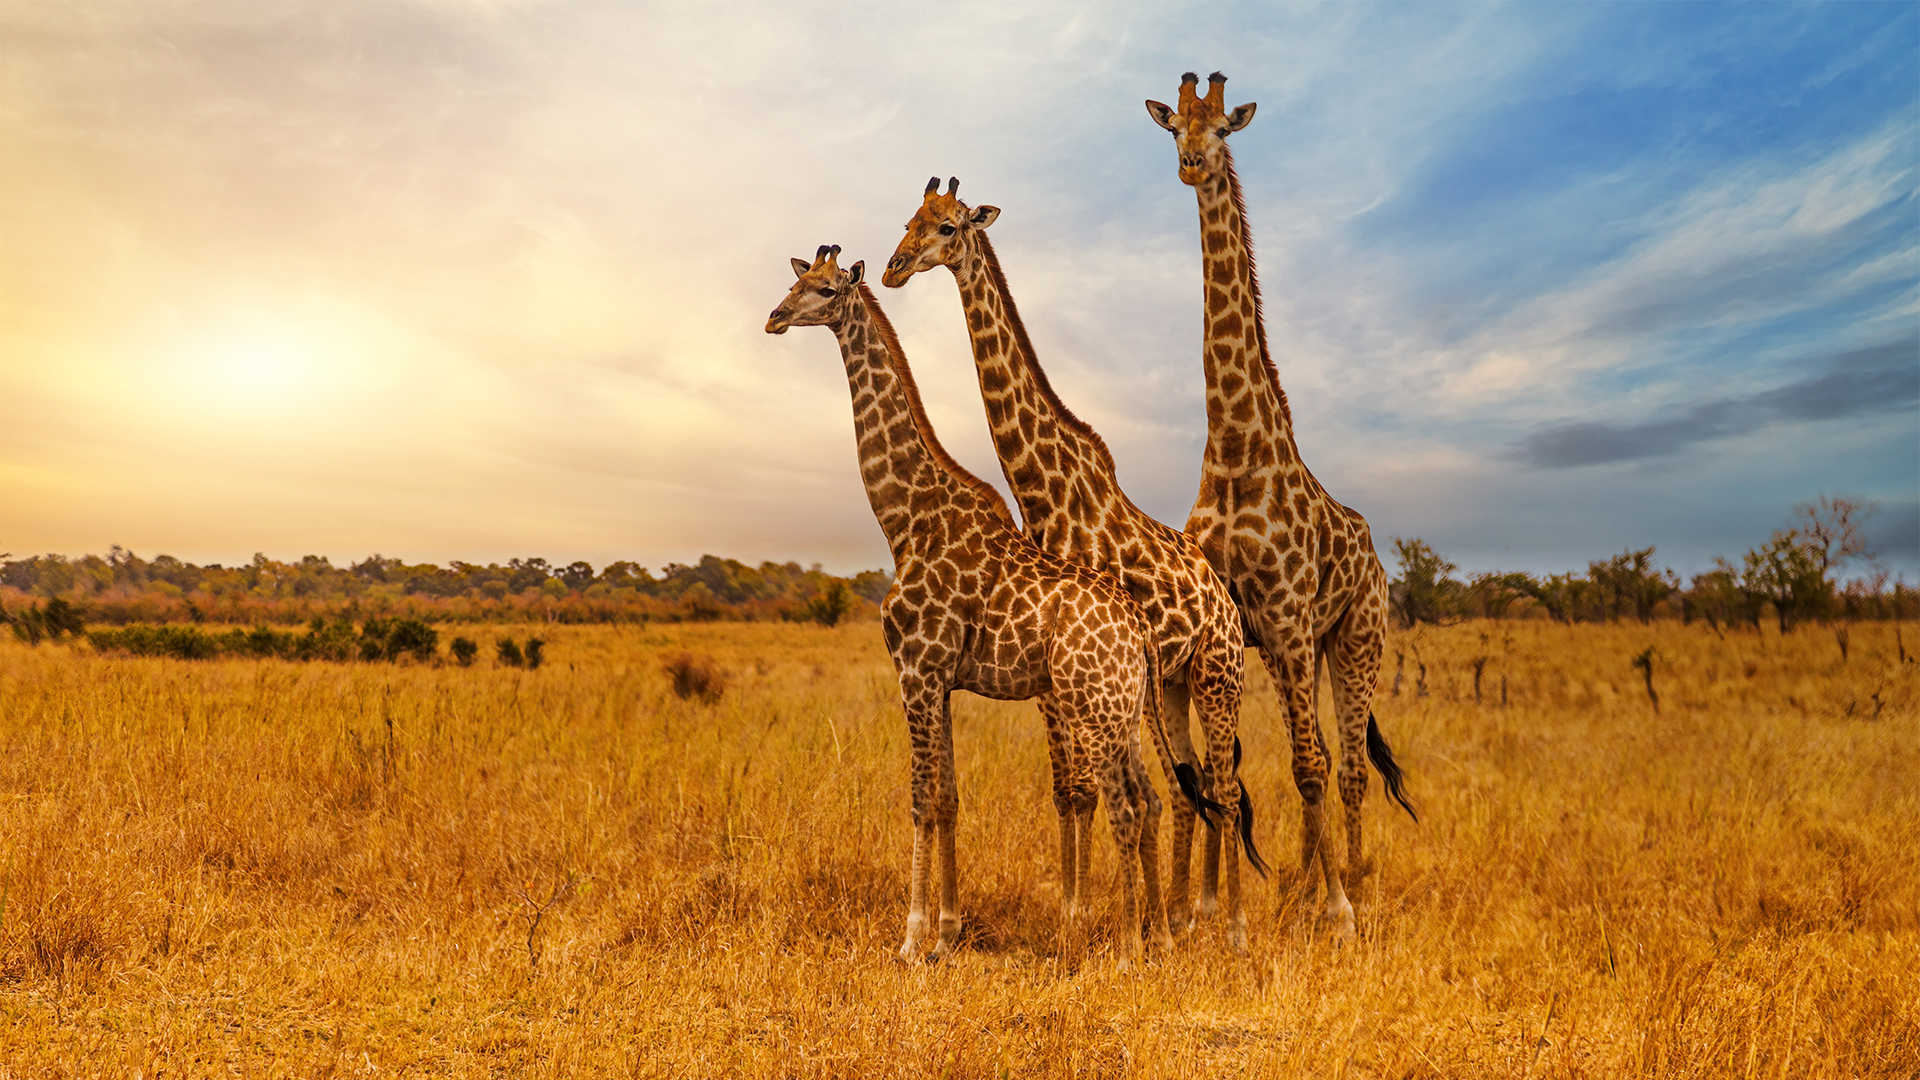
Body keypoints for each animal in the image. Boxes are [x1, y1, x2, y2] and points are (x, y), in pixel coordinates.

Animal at [766, 244, 1197, 965]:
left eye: (824, 290)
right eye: (795, 282)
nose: (773, 317)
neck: (904, 519)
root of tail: (1139, 626)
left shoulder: (915, 670)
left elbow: (919, 799)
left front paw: (912, 939)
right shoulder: (940, 680)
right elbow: (948, 798)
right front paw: (948, 931)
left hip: (1094, 707)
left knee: (1128, 805)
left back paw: (1129, 946)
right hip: (1124, 709)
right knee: (1152, 798)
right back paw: (1159, 934)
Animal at [883, 177, 1265, 948]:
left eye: (945, 226)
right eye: (907, 220)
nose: (895, 267)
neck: (1046, 491)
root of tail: (1222, 596)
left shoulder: (1070, 672)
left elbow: (1090, 791)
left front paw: (1090, 919)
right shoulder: (1050, 678)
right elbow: (1070, 792)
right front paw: (1079, 912)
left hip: (1217, 674)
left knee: (1221, 784)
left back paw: (1228, 924)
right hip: (1170, 685)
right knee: (1193, 788)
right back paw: (1186, 913)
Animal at [1146, 72, 1417, 937]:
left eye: (1223, 128)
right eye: (1174, 128)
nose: (1192, 165)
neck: (1235, 450)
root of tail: (1375, 556)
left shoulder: (1292, 620)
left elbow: (1306, 765)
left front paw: (1337, 909)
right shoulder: (1238, 625)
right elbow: (1220, 768)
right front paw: (1206, 907)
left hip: (1356, 637)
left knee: (1347, 763)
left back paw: (1351, 883)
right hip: (1303, 647)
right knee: (1326, 756)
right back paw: (1301, 882)